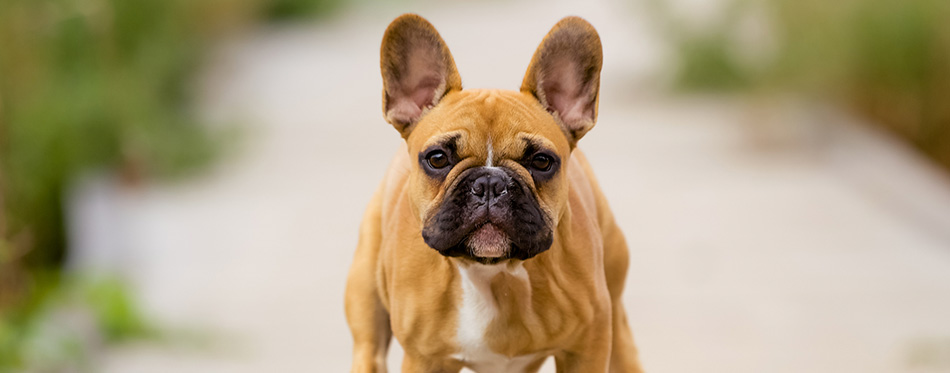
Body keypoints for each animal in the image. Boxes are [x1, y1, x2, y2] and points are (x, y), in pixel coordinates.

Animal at [346, 13, 644, 370]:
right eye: (437, 158)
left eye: (542, 161)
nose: (489, 184)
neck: (494, 275)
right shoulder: (425, 359)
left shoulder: (587, 348)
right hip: (367, 312)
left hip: (615, 316)